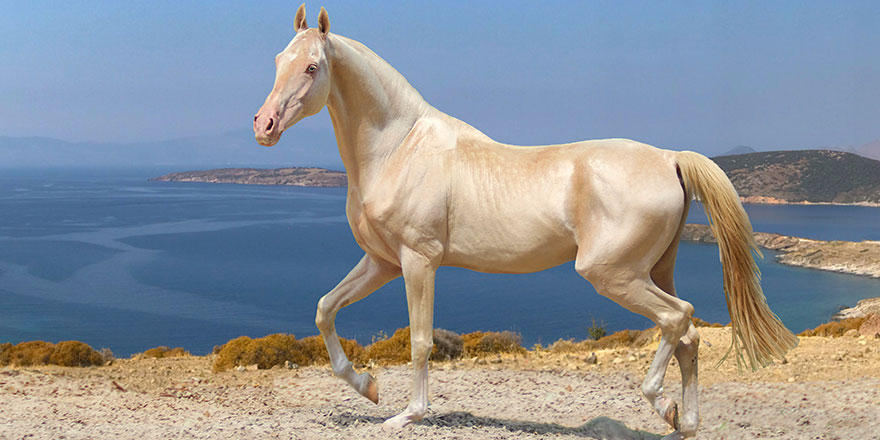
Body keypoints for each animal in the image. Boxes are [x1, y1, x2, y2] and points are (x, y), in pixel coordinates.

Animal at [249, 5, 796, 438]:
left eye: (312, 66)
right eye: (277, 61)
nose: (264, 125)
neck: (399, 148)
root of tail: (670, 159)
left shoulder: (417, 261)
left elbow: (421, 340)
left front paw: (408, 414)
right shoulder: (381, 262)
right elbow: (325, 309)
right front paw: (368, 388)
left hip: (613, 274)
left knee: (677, 317)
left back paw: (660, 402)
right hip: (654, 269)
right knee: (689, 338)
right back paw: (683, 421)